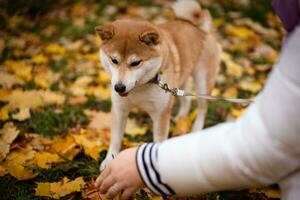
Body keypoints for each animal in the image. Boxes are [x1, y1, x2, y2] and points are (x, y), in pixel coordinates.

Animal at [95, 0, 221, 170]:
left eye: (135, 63)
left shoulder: (160, 115)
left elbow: (158, 141)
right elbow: (115, 139)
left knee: (202, 108)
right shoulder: (119, 110)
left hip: (202, 82)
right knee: (186, 98)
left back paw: (196, 129)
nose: (119, 87)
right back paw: (180, 118)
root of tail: (200, 25)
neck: (140, 88)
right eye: (114, 60)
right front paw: (110, 160)